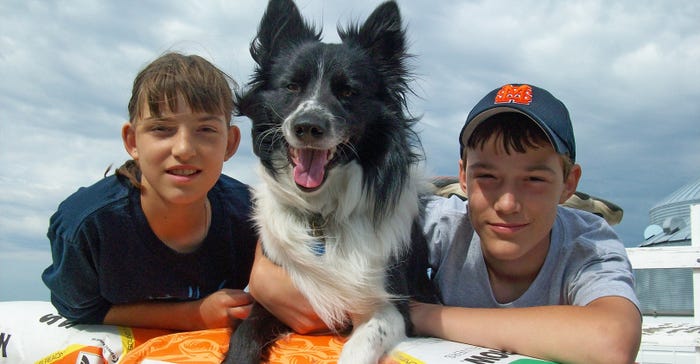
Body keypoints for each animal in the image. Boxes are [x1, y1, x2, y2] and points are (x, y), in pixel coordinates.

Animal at [221, 0, 434, 362]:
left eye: (348, 91)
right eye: (291, 86)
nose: (308, 126)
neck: (323, 216)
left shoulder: (393, 307)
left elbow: (364, 342)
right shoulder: (267, 300)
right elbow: (245, 337)